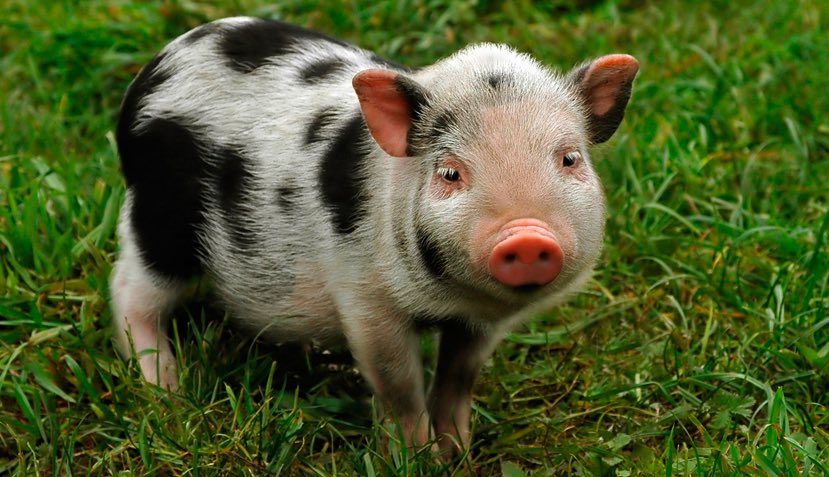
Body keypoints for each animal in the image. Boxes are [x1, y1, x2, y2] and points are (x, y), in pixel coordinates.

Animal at [109, 16, 638, 453]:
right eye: (450, 173)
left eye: (569, 159)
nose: (527, 237)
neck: (450, 298)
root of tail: (152, 73)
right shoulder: (366, 298)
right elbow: (397, 384)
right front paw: (415, 458)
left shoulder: (480, 323)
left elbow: (459, 375)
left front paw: (458, 451)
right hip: (159, 216)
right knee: (130, 291)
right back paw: (168, 393)